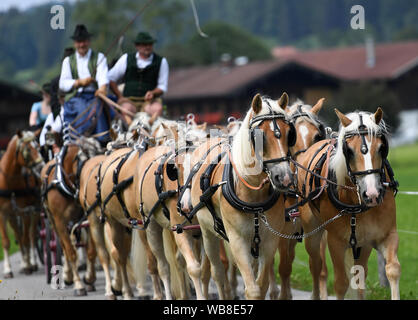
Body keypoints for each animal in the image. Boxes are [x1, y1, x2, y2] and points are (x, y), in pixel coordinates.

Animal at [0, 130, 44, 278]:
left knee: (31, 236)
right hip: (12, 215)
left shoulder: (25, 211)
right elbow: (6, 242)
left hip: (35, 210)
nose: (41, 167)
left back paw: (32, 263)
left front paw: (28, 265)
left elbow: (26, 238)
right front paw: (8, 270)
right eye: (28, 150)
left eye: (38, 146)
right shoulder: (3, 213)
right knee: (18, 235)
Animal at [40, 135, 104, 296]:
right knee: (63, 246)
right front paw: (79, 285)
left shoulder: (88, 217)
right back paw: (66, 275)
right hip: (53, 221)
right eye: (87, 167)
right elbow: (70, 252)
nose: (95, 192)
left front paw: (89, 279)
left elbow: (91, 251)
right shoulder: (60, 221)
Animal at [185, 93, 296, 300]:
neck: (253, 195)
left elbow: (261, 285)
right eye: (259, 136)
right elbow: (252, 288)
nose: (284, 178)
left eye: (289, 134)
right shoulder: (237, 241)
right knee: (216, 272)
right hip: (207, 233)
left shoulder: (269, 241)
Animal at [296, 108, 400, 300]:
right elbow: (341, 283)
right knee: (316, 266)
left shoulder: (386, 235)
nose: (372, 194)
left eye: (381, 148)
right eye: (349, 151)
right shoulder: (335, 242)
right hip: (313, 233)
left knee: (360, 275)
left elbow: (392, 270)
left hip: (363, 243)